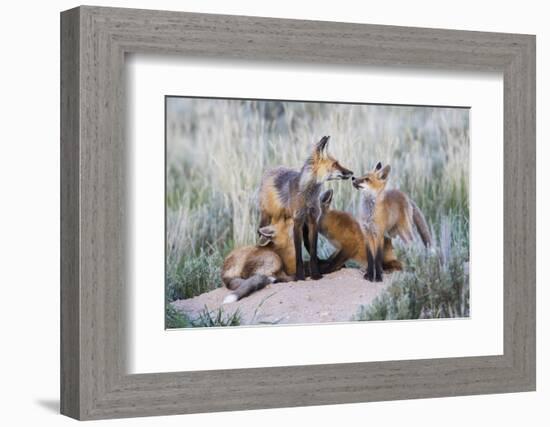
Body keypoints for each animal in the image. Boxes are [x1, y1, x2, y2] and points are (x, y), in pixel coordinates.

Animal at [258, 137, 354, 282]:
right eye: (335, 164)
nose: (351, 173)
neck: (308, 196)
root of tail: (271, 169)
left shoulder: (313, 220)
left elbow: (313, 251)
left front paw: (316, 274)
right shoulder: (297, 222)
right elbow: (298, 253)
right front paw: (299, 276)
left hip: (304, 225)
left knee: (308, 246)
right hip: (268, 217)